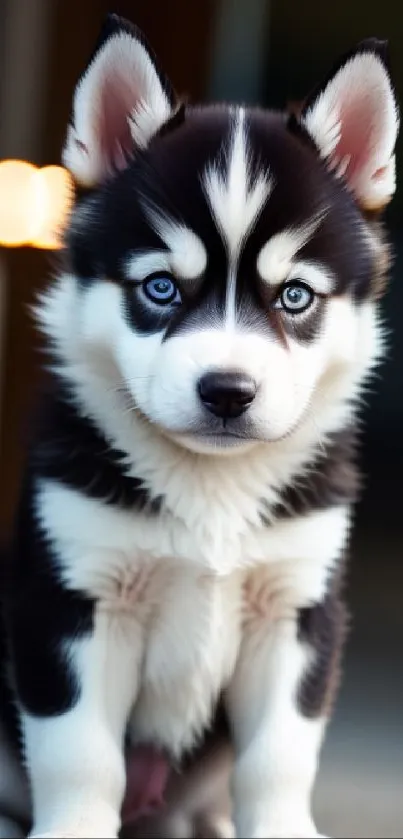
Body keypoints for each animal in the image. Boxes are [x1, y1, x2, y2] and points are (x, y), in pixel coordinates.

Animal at [0, 14, 400, 839]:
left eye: (293, 297)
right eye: (160, 288)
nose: (227, 391)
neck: (211, 487)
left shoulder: (296, 609)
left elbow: (278, 758)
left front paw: (282, 827)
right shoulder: (70, 599)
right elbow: (80, 756)